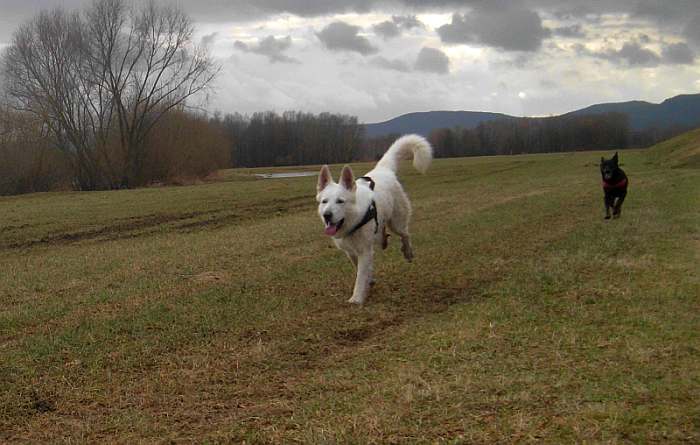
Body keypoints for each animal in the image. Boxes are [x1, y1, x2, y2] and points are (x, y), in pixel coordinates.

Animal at [316, 134, 432, 304]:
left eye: (340, 201)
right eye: (324, 201)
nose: (327, 215)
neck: (354, 221)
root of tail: (383, 169)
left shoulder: (364, 251)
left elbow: (360, 276)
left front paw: (356, 298)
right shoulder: (350, 251)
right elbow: (359, 268)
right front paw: (369, 280)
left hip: (396, 223)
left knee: (405, 234)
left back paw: (408, 252)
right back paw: (384, 240)